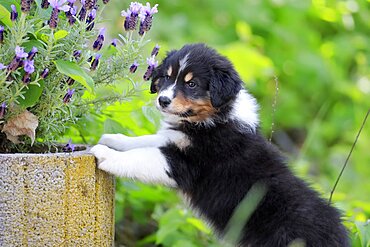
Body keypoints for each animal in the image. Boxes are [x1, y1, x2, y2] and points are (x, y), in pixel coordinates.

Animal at [90, 43, 350, 246]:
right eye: (165, 77)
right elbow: (146, 140)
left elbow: (140, 157)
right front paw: (114, 139)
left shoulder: (185, 163)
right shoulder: (174, 140)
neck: (215, 118)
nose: (162, 100)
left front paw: (105, 154)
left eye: (192, 84)